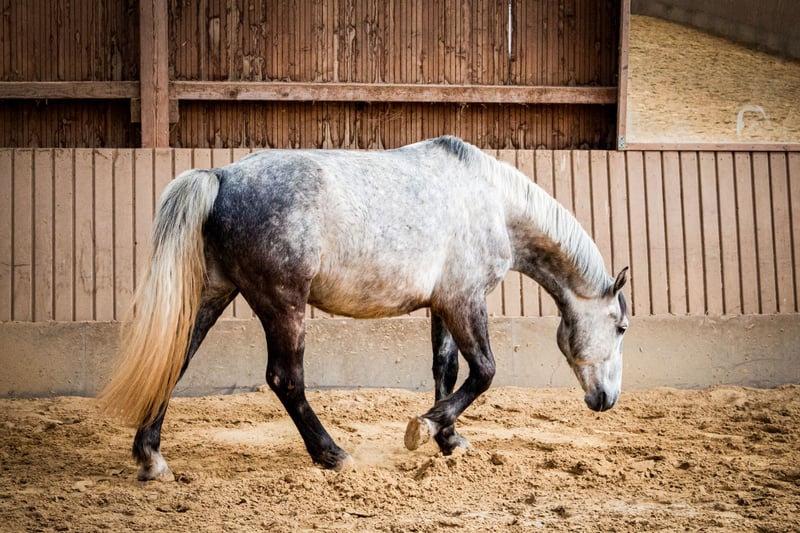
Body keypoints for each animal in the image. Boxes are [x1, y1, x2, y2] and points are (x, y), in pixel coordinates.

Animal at [98, 136, 629, 481]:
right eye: (621, 327)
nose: (606, 399)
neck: (493, 203)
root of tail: (221, 175)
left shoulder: (443, 305)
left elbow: (445, 368)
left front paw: (448, 439)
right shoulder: (465, 300)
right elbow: (483, 371)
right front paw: (426, 427)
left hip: (214, 294)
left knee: (175, 362)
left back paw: (151, 459)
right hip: (283, 304)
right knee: (285, 380)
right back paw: (332, 455)